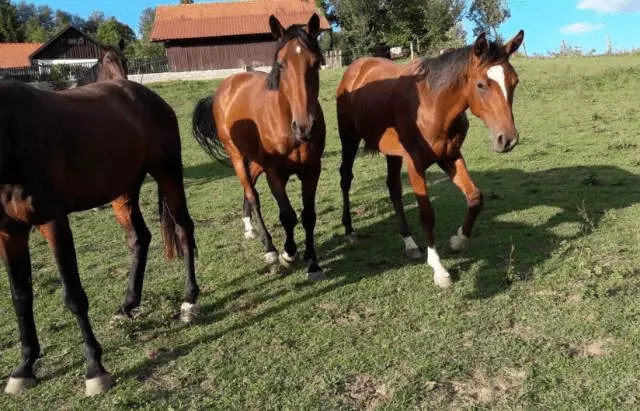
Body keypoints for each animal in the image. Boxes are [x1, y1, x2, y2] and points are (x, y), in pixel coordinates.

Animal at [0, 77, 199, 396]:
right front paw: (24, 367)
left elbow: (73, 296)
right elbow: (20, 297)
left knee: (183, 230)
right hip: (123, 190)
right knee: (139, 238)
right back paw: (128, 304)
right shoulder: (9, 231)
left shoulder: (53, 222)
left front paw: (95, 369)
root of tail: (145, 94)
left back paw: (190, 300)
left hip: (167, 171)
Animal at [192, 14, 326, 281]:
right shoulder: (274, 173)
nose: (305, 127)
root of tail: (226, 87)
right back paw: (269, 248)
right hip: (237, 156)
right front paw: (288, 253)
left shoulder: (312, 170)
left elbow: (308, 216)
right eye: (281, 64)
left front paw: (313, 263)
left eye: (316, 63)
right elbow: (287, 215)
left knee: (250, 188)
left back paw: (249, 228)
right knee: (252, 195)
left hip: (255, 160)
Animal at [336, 31, 525, 288]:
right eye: (481, 85)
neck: (433, 104)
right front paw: (439, 268)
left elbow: (475, 197)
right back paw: (349, 230)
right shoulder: (415, 163)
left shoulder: (450, 156)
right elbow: (427, 214)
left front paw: (458, 240)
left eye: (514, 82)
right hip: (349, 138)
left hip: (393, 153)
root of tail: (357, 67)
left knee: (393, 188)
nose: (507, 139)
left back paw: (409, 243)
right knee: (346, 178)